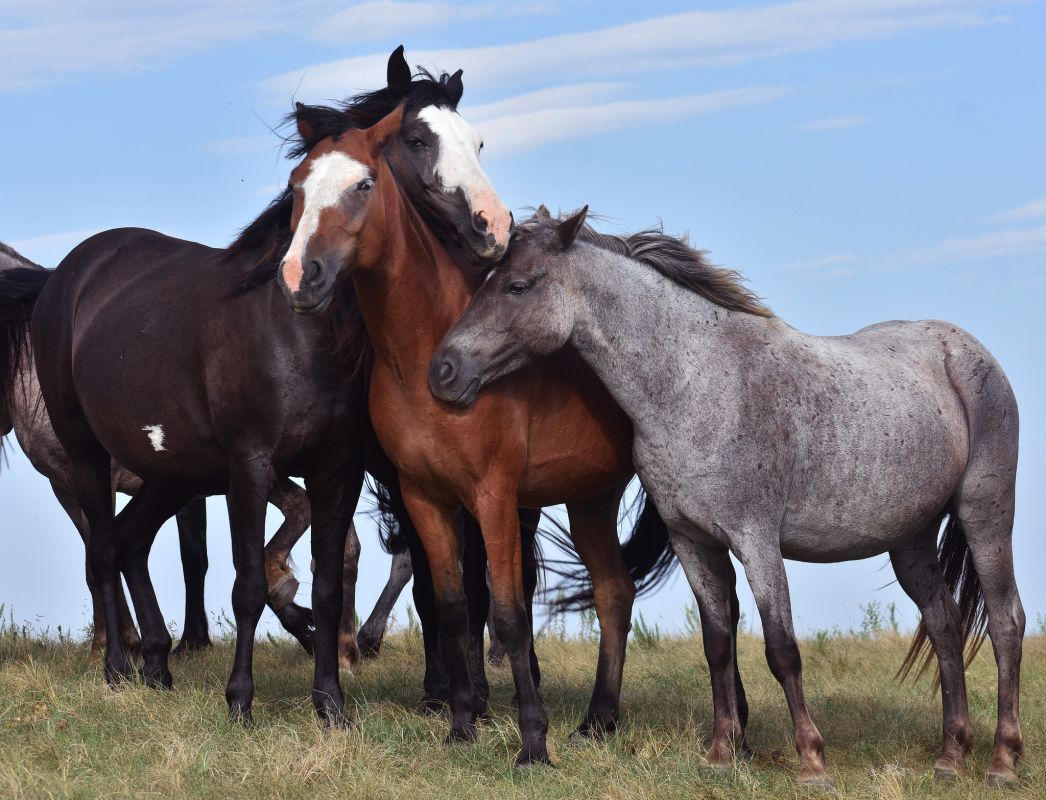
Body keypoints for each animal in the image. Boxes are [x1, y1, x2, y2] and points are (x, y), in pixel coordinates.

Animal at [275, 110, 681, 766]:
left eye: (364, 184)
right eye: (296, 188)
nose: (299, 277)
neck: (425, 348)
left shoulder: (493, 498)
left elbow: (509, 613)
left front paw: (533, 742)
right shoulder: (423, 496)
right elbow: (452, 606)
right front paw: (461, 723)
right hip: (590, 496)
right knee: (614, 594)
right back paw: (599, 720)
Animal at [430, 207, 1026, 787]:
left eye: (517, 285)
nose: (444, 370)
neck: (696, 384)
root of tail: (967, 351)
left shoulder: (756, 541)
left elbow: (782, 649)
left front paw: (812, 763)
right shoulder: (693, 542)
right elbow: (717, 644)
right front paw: (720, 754)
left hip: (984, 517)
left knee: (1006, 622)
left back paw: (1002, 761)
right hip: (910, 540)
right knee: (945, 624)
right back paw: (950, 757)